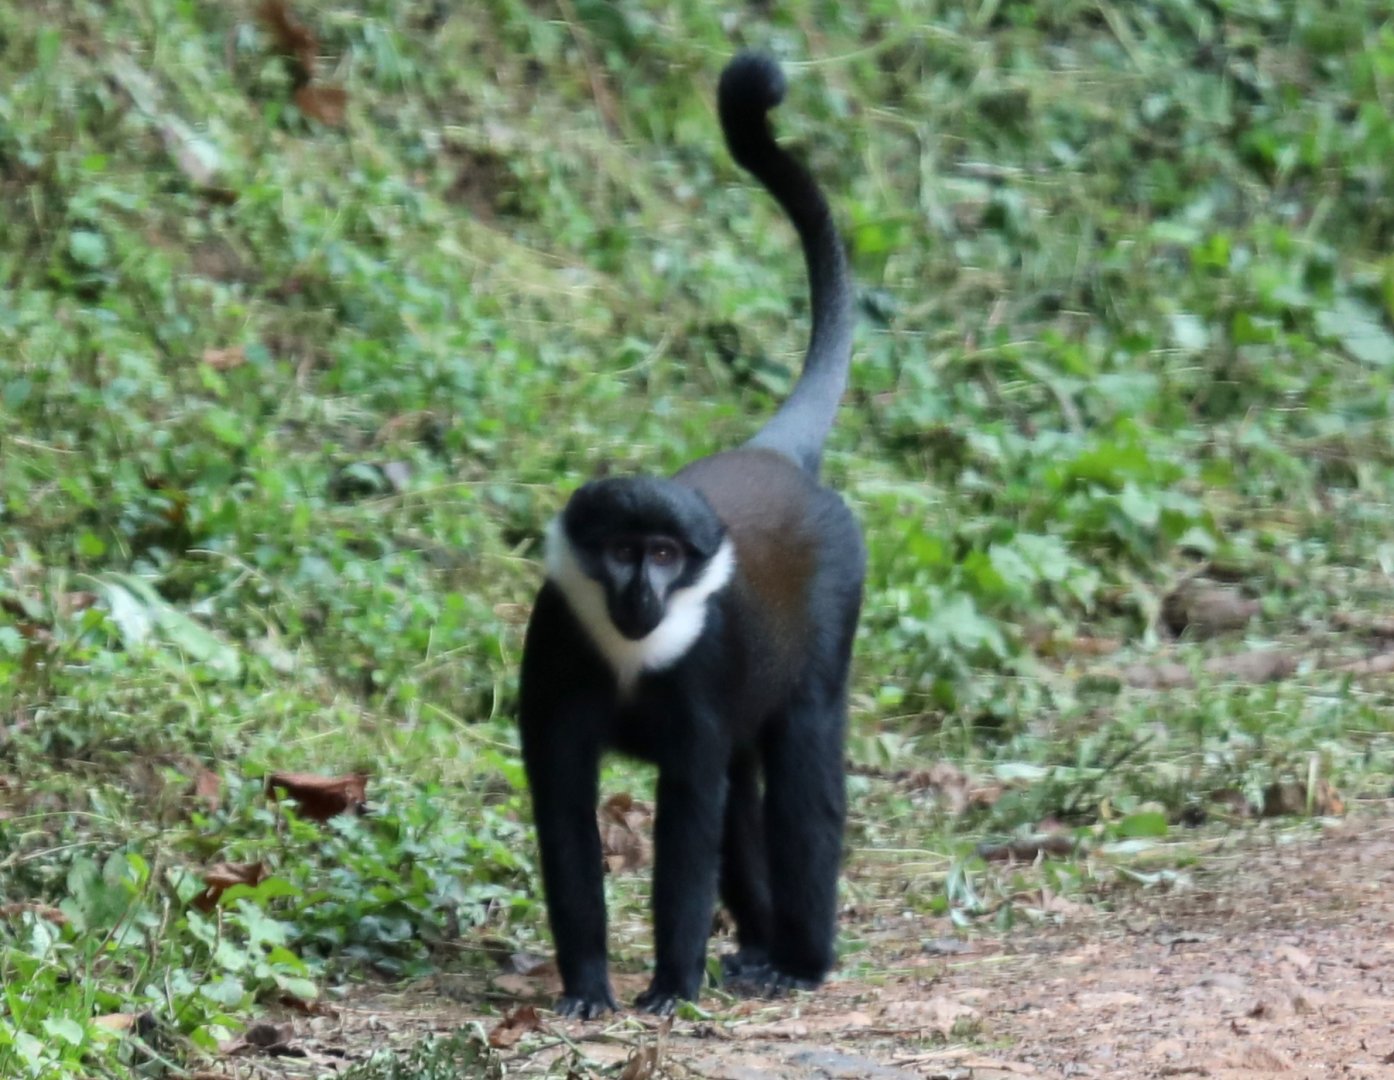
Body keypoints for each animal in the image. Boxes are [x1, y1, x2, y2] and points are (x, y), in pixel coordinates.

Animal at [517, 51, 863, 1019]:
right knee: (748, 793)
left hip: (831, 627)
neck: (635, 656)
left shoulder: (701, 687)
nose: (641, 593)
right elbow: (564, 813)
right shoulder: (554, 650)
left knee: (799, 777)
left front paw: (672, 984)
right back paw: (756, 946)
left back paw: (800, 959)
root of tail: (775, 452)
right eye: (621, 551)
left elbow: (689, 817)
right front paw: (587, 986)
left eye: (666, 556)